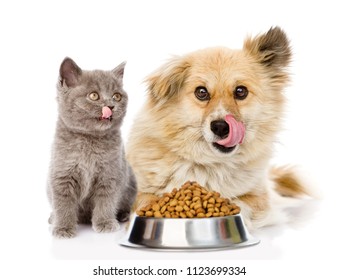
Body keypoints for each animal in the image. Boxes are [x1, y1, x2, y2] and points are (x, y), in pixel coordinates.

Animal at [48, 58, 138, 237]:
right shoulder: (62, 175)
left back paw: (123, 216)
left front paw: (105, 223)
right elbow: (63, 203)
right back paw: (53, 218)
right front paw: (63, 228)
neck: (89, 139)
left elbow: (106, 201)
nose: (111, 106)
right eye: (94, 96)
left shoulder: (110, 175)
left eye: (117, 96)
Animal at [127, 27, 308, 230]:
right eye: (201, 92)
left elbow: (242, 203)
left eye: (241, 91)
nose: (221, 127)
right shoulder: (139, 192)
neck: (209, 163)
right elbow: (145, 201)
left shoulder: (259, 197)